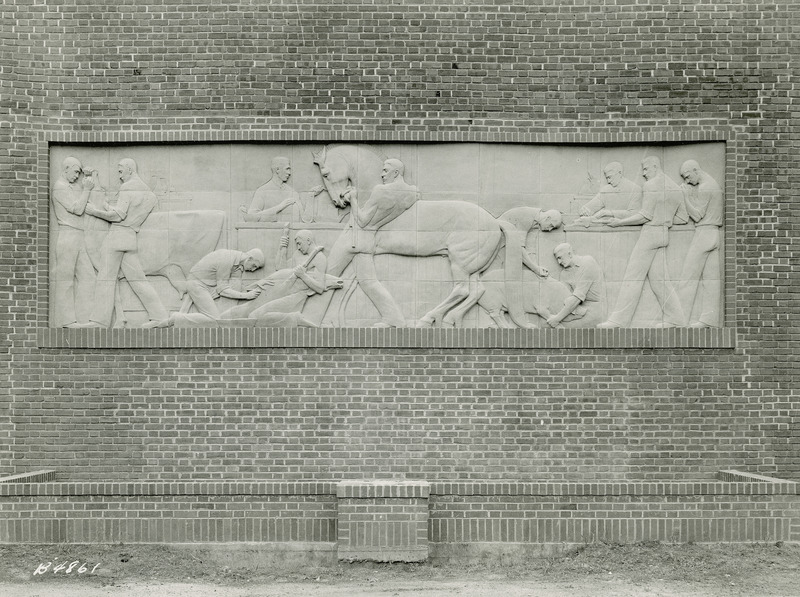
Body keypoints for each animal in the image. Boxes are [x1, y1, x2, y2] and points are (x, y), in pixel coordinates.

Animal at [310, 146, 532, 330]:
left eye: (326, 174)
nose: (338, 202)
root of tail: (494, 221)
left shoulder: (351, 246)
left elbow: (334, 268)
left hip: (460, 261)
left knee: (462, 289)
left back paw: (427, 319)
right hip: (473, 265)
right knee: (477, 290)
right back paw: (450, 320)